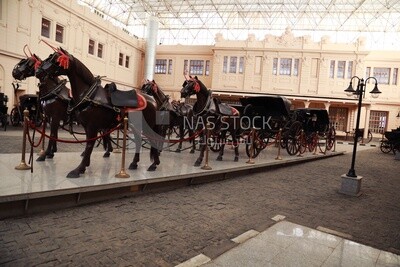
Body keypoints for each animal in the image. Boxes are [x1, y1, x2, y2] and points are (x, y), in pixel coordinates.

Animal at [36, 47, 163, 179]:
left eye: (56, 60)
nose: (38, 72)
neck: (89, 94)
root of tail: (152, 101)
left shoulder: (91, 126)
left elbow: (89, 146)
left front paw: (78, 169)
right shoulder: (86, 126)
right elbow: (88, 145)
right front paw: (84, 165)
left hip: (148, 126)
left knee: (153, 140)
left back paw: (154, 164)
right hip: (135, 126)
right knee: (138, 141)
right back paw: (134, 163)